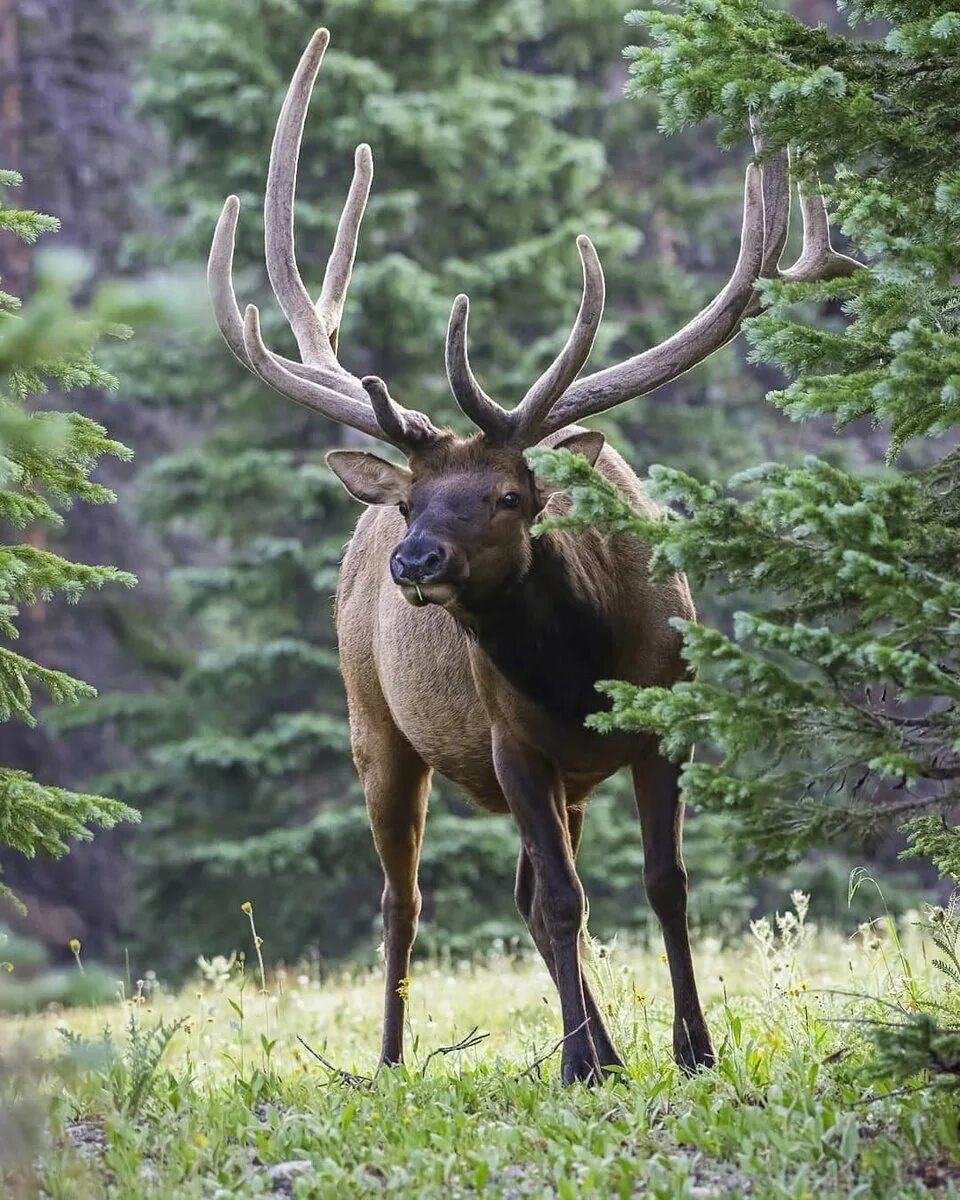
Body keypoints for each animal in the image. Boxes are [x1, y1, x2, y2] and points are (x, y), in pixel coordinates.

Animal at [206, 28, 859, 1084]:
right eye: (416, 499)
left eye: (510, 496)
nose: (415, 562)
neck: (581, 669)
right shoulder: (513, 744)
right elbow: (561, 902)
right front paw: (585, 1065)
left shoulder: (666, 724)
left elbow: (665, 884)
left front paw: (689, 1050)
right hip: (376, 728)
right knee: (406, 899)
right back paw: (398, 1059)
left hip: (557, 778)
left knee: (521, 893)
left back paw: (602, 1047)